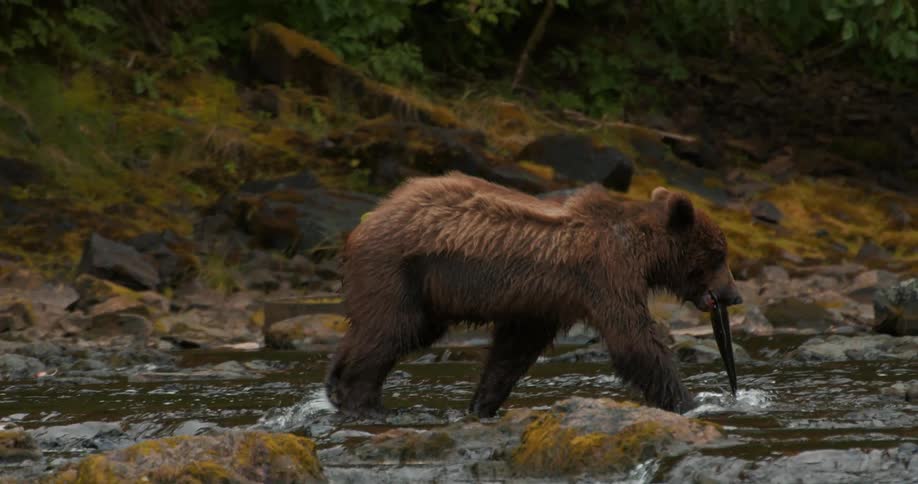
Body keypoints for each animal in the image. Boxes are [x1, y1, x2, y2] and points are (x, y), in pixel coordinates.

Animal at [325, 171, 743, 417]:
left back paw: (335, 384)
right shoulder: (606, 276)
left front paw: (482, 403)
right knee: (389, 330)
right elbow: (634, 340)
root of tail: (366, 222)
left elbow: (513, 351)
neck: (644, 254)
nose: (734, 295)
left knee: (388, 332)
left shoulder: (542, 302)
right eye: (718, 254)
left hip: (423, 291)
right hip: (399, 270)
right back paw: (364, 403)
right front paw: (690, 401)